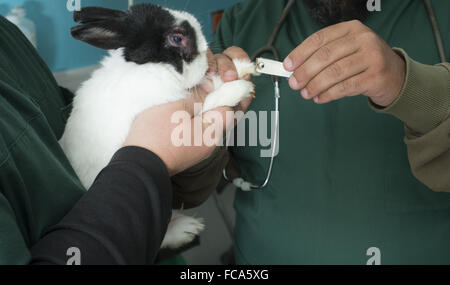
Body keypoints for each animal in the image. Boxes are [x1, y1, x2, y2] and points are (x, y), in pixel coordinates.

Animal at [59, 3, 256, 248]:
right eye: (176, 38)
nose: (205, 51)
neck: (153, 67)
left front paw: (243, 66)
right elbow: (211, 100)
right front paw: (239, 88)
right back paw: (186, 230)